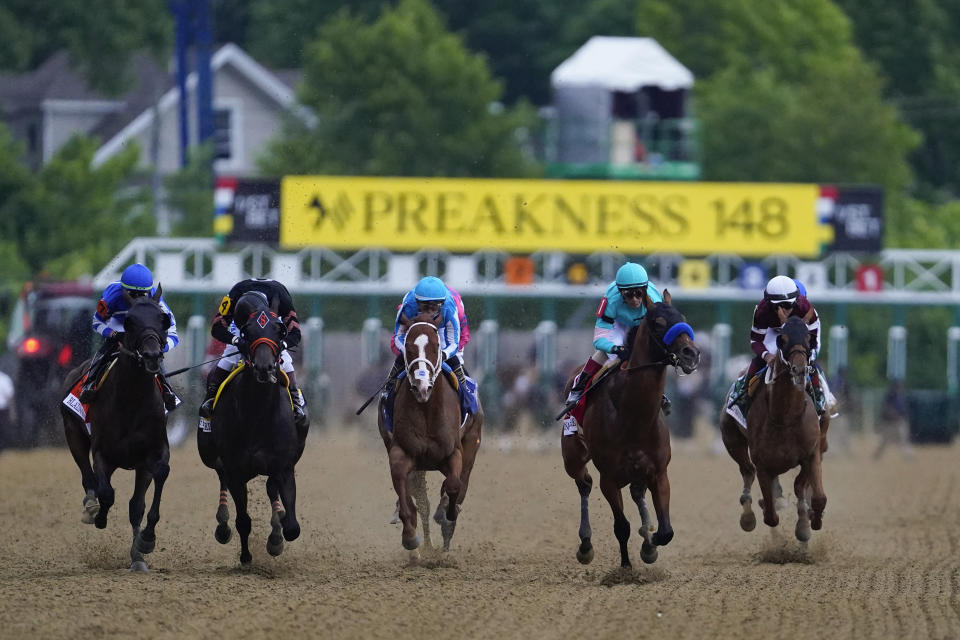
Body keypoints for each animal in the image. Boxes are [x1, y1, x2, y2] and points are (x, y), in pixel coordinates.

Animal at [58, 288, 172, 572]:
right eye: (129, 321)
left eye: (163, 320)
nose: (152, 356)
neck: (132, 399)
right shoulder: (103, 454)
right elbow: (107, 493)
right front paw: (99, 517)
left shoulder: (151, 455)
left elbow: (143, 500)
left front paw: (143, 546)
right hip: (73, 432)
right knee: (89, 478)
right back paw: (91, 507)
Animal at [208, 292, 306, 564]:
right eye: (247, 331)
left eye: (279, 329)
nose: (264, 367)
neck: (257, 414)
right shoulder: (235, 470)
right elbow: (243, 520)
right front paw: (245, 556)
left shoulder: (284, 467)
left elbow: (292, 527)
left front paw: (276, 537)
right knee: (220, 475)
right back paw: (222, 525)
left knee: (271, 488)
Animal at [376, 312, 478, 552]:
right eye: (408, 347)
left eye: (435, 345)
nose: (422, 387)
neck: (426, 409)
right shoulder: (401, 452)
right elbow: (407, 495)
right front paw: (409, 535)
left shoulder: (454, 452)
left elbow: (453, 485)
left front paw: (446, 516)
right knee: (419, 499)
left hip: (471, 446)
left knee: (461, 483)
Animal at [560, 290, 700, 564]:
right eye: (658, 323)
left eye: (684, 318)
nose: (691, 353)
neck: (633, 416)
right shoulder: (608, 478)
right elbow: (621, 526)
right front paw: (626, 564)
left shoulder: (659, 472)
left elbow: (666, 531)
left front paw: (649, 543)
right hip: (572, 457)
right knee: (584, 483)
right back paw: (585, 544)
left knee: (635, 492)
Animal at [720, 316, 824, 540]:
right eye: (781, 340)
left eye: (809, 339)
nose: (799, 369)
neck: (785, 417)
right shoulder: (763, 464)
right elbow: (770, 515)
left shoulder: (811, 454)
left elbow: (815, 495)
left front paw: (810, 521)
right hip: (731, 439)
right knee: (747, 471)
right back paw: (748, 515)